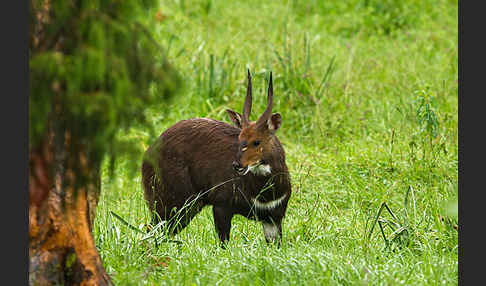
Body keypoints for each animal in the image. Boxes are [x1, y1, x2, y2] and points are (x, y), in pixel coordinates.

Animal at [141, 70, 292, 246]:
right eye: (240, 137)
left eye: (257, 141)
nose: (237, 165)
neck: (265, 194)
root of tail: (148, 153)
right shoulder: (221, 206)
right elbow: (223, 244)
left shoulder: (273, 219)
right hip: (172, 204)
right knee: (149, 233)